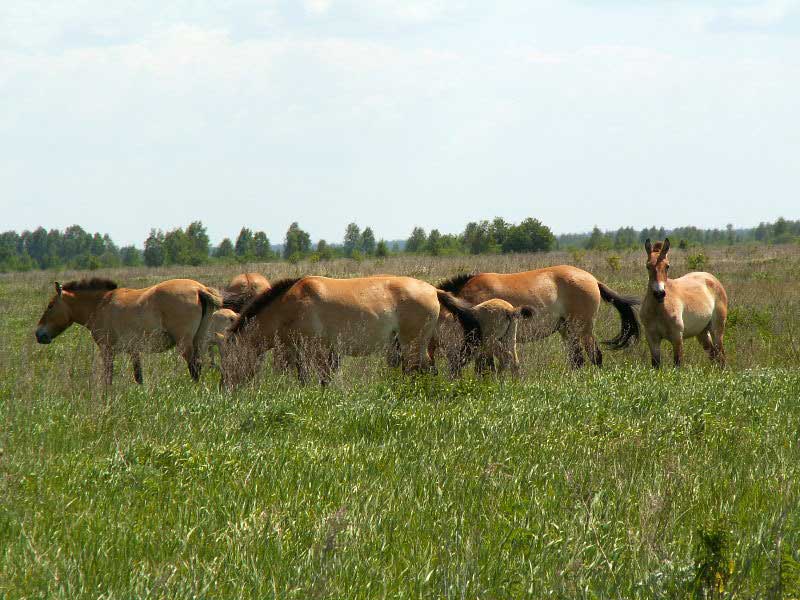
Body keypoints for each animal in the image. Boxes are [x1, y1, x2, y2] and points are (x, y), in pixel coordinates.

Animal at [35, 278, 222, 385]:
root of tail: (199, 289)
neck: (100, 304)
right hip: (199, 340)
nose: (39, 334)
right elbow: (138, 376)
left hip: (185, 343)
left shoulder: (107, 349)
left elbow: (108, 376)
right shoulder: (134, 351)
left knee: (194, 367)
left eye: (50, 306)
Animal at [220, 276, 440, 387]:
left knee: (417, 370)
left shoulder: (317, 351)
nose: (224, 389)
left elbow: (320, 378)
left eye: (230, 360)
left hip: (411, 345)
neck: (287, 307)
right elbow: (305, 378)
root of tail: (433, 290)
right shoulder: (302, 351)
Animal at [438, 266, 640, 368]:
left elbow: (485, 367)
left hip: (582, 329)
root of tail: (593, 280)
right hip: (567, 331)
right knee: (577, 360)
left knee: (595, 356)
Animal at [640, 239, 728, 368]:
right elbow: (656, 364)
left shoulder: (677, 337)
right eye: (648, 266)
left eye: (667, 266)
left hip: (717, 330)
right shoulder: (652, 338)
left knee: (721, 356)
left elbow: (678, 364)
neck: (659, 310)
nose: (659, 293)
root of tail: (712, 278)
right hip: (702, 333)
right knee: (713, 354)